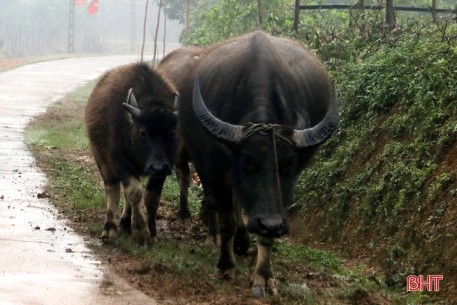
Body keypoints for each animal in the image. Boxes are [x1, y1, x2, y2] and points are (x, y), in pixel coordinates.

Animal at [84, 61, 177, 242]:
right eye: (143, 132)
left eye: (171, 133)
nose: (158, 167)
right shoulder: (119, 160)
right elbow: (134, 192)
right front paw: (141, 231)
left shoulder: (166, 165)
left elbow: (152, 198)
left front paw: (152, 231)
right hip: (101, 157)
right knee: (113, 188)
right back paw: (110, 227)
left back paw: (126, 223)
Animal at [175, 31, 338, 296]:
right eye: (247, 162)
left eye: (288, 164)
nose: (271, 224)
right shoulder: (216, 171)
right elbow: (227, 220)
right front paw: (226, 266)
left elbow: (264, 232)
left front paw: (262, 275)